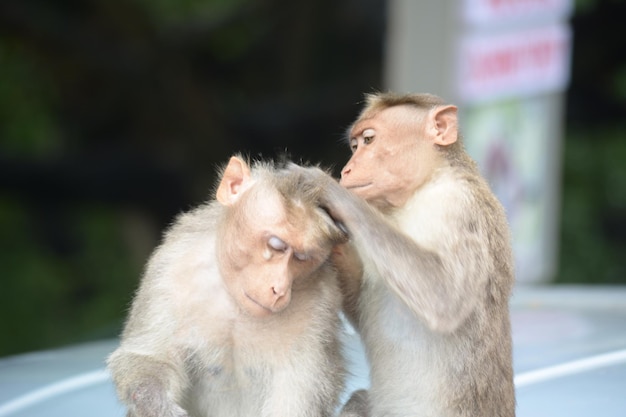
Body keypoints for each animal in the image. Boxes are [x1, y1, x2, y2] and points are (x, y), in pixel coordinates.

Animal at [106, 156, 346, 416]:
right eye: (277, 245)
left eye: (303, 258)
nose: (279, 289)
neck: (235, 300)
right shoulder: (168, 267)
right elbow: (148, 357)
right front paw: (159, 406)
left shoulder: (321, 304)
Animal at [288, 92, 512, 416]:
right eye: (354, 146)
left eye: (369, 140)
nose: (346, 170)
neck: (424, 186)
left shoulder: (458, 208)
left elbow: (444, 297)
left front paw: (327, 188)